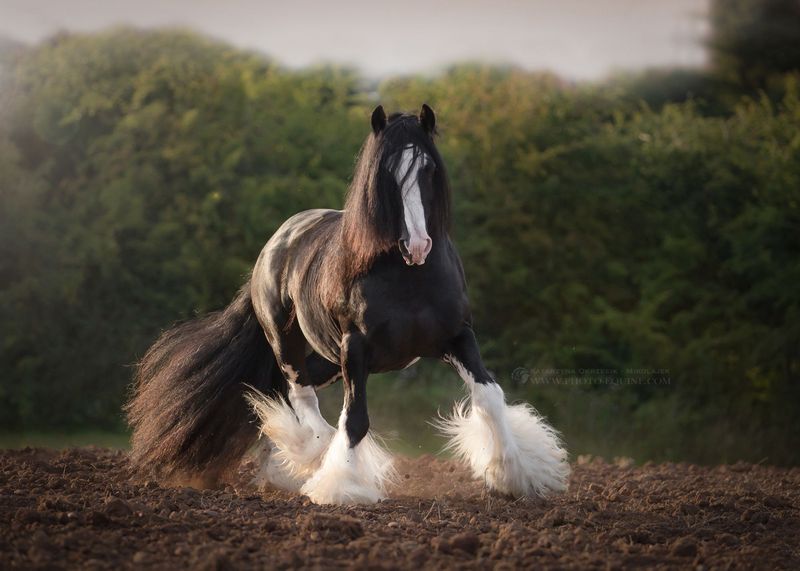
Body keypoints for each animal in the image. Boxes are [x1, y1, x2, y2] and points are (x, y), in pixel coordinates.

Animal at [126, 104, 568, 504]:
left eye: (427, 169)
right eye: (385, 174)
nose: (417, 245)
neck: (409, 278)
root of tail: (275, 244)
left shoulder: (458, 337)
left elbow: (490, 396)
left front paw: (517, 476)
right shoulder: (355, 347)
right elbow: (354, 421)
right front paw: (341, 488)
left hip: (325, 358)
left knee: (282, 394)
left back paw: (285, 466)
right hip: (289, 343)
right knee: (300, 395)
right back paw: (312, 457)